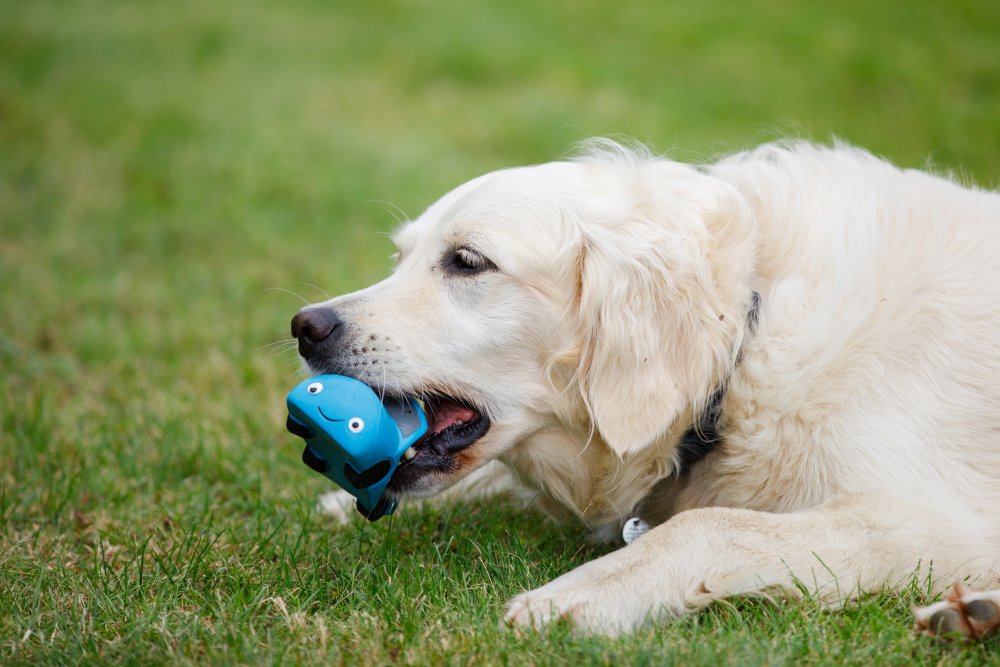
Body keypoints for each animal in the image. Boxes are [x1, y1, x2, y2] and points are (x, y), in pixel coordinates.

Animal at [292, 141, 1000, 636]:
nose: (305, 327)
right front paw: (332, 507)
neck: (743, 341)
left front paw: (577, 594)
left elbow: (709, 524)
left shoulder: (927, 521)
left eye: (467, 262)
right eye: (400, 259)